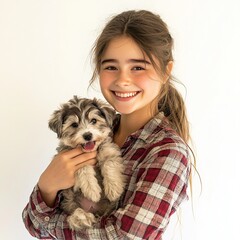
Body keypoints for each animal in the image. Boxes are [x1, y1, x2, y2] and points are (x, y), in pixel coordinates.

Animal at [47, 95, 124, 231]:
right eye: (74, 124)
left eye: (93, 120)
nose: (87, 135)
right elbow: (83, 167)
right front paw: (92, 191)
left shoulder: (109, 151)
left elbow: (109, 163)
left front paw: (113, 189)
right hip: (70, 201)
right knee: (74, 212)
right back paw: (82, 217)